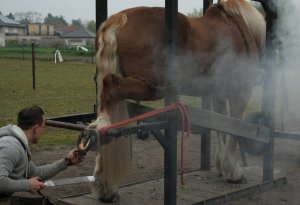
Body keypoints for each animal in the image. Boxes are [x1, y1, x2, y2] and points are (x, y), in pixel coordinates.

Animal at [88, 0, 264, 202]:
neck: (237, 24)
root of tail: (119, 18)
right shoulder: (240, 91)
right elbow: (234, 129)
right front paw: (233, 172)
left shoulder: (218, 93)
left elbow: (221, 126)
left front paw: (222, 166)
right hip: (151, 86)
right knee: (110, 92)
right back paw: (106, 186)